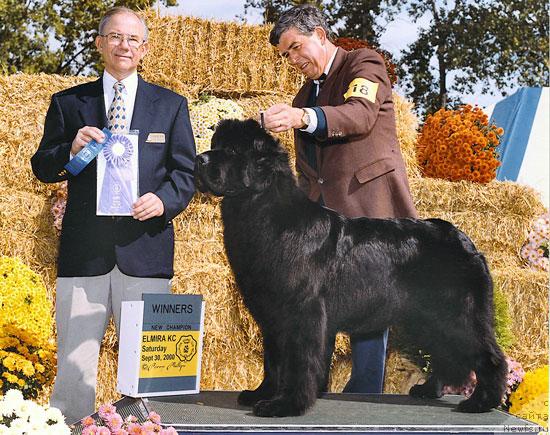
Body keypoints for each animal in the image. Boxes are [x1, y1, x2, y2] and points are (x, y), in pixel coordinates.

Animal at [194, 119, 508, 418]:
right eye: (216, 145)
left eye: (233, 151)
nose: (199, 159)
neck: (264, 210)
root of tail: (464, 240)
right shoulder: (272, 314)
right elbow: (273, 360)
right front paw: (262, 393)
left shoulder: (302, 312)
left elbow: (298, 362)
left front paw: (285, 405)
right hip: (427, 319)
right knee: (445, 355)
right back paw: (428, 390)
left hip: (457, 316)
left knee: (490, 357)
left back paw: (481, 402)